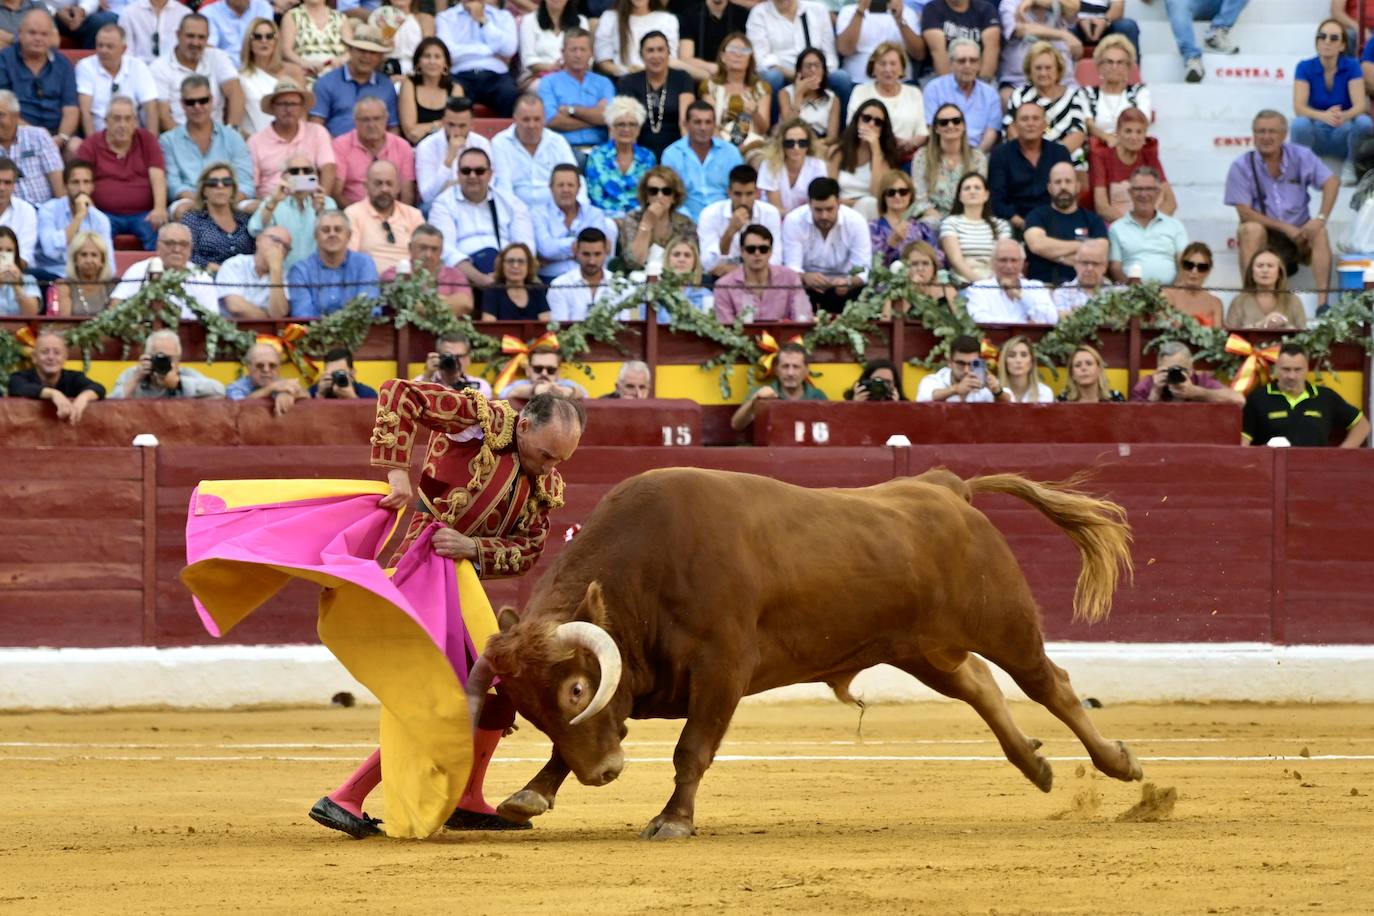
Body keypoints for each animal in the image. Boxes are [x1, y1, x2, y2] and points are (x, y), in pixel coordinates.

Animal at [461, 469, 1137, 840]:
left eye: (576, 689)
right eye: (529, 709)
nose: (603, 775)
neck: (645, 573)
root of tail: (948, 487)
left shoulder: (722, 669)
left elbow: (691, 749)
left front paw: (673, 820)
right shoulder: (638, 682)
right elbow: (575, 744)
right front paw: (530, 796)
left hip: (1005, 623)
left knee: (1050, 683)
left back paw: (1119, 764)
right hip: (922, 649)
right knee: (978, 685)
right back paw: (1035, 765)